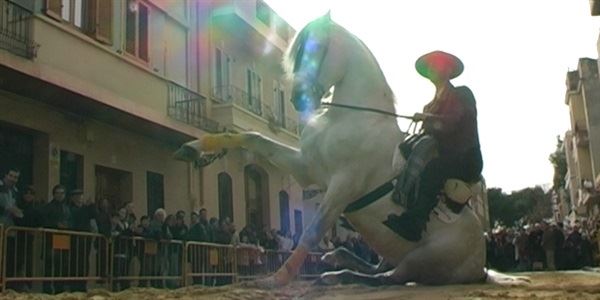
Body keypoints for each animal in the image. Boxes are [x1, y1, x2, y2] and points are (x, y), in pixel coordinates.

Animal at [176, 14, 528, 288]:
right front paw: (193, 149)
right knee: (377, 267)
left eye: (316, 49)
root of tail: (481, 263)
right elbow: (252, 137)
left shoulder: (341, 186)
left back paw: (337, 272)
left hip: (421, 260)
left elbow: (311, 232)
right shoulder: (307, 168)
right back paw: (337, 261)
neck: (351, 117)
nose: (299, 98)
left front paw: (273, 279)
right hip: (390, 248)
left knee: (389, 278)